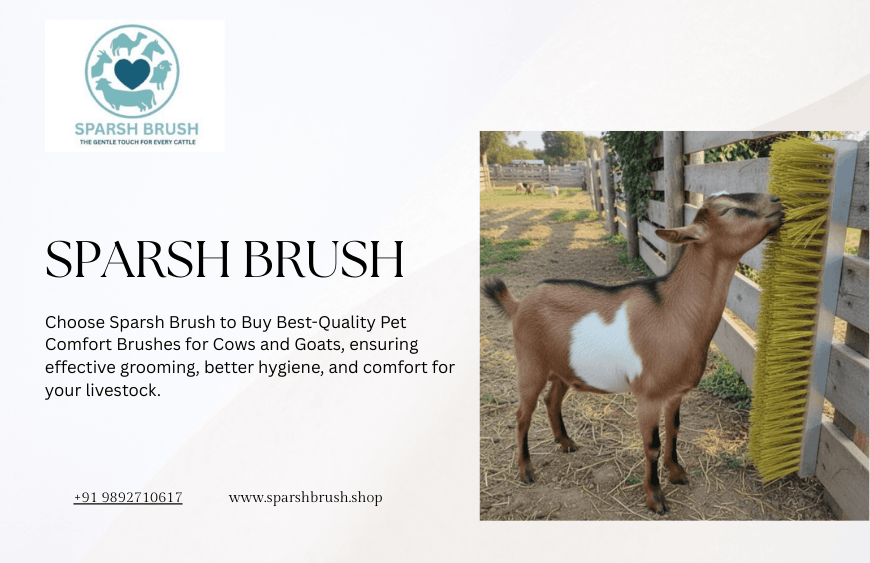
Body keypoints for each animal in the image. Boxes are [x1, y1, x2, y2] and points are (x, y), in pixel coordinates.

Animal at [482, 192, 782, 514]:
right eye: (727, 210)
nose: (777, 201)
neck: (676, 310)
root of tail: (518, 305)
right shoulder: (648, 396)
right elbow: (652, 446)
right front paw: (656, 498)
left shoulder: (675, 392)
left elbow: (674, 430)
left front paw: (677, 473)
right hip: (530, 364)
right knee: (522, 415)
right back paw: (526, 471)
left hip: (563, 368)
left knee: (552, 401)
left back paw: (566, 443)